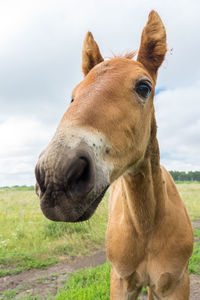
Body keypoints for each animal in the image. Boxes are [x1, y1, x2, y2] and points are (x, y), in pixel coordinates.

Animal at [35, 10, 195, 298]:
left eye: (144, 87)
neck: (147, 226)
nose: (55, 176)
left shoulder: (176, 283)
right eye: (73, 95)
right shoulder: (121, 280)